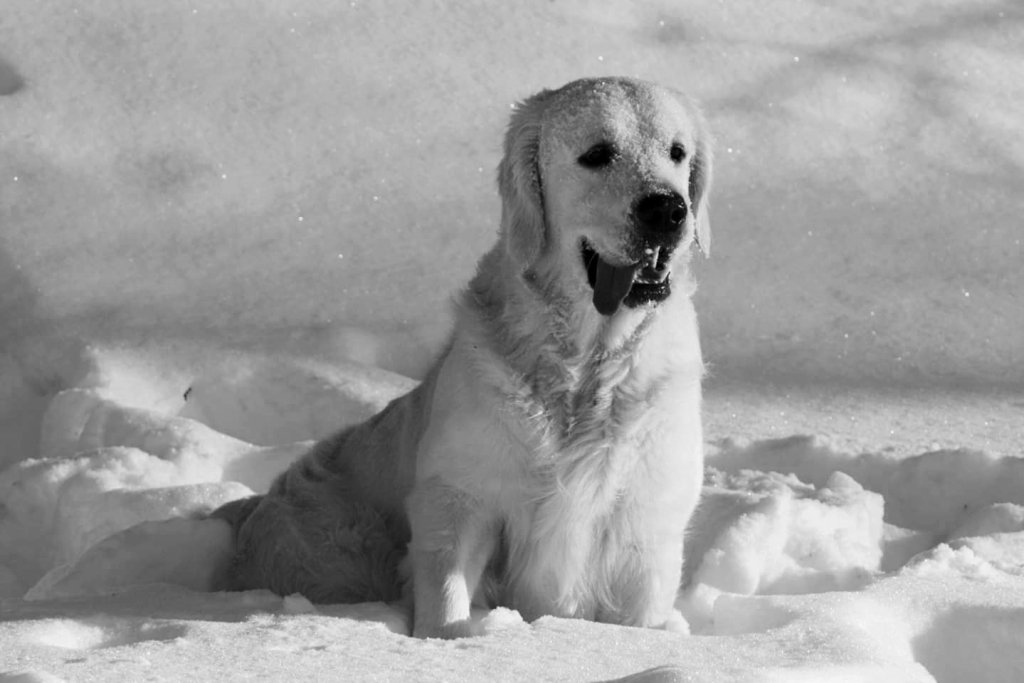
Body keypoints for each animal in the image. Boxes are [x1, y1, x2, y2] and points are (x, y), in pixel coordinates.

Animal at [211, 77, 713, 638]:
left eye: (677, 152)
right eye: (598, 154)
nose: (667, 210)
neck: (585, 363)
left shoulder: (648, 522)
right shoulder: (457, 499)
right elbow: (446, 594)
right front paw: (452, 641)